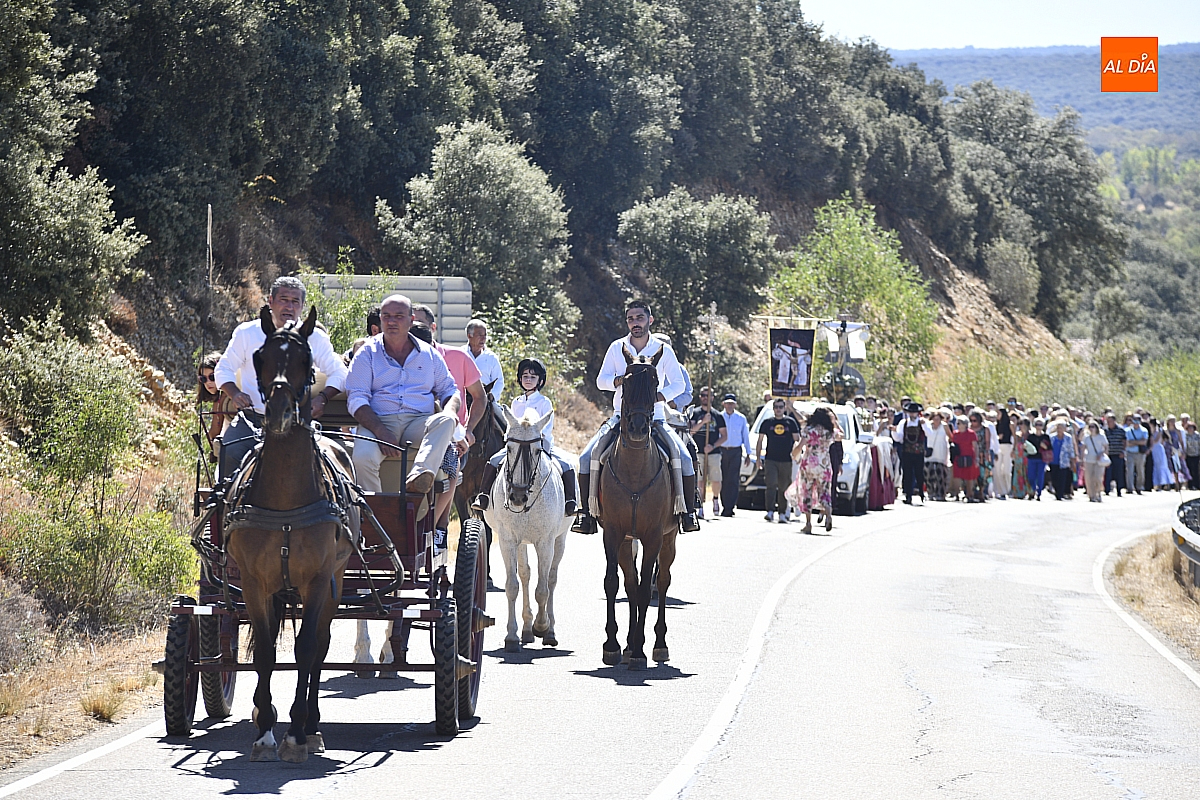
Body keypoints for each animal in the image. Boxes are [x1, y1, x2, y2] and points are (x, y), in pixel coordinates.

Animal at [224, 306, 357, 763]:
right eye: (260, 357)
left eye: (306, 359)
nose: (280, 411)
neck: (284, 499)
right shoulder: (253, 582)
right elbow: (265, 651)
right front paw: (265, 728)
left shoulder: (317, 580)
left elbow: (306, 651)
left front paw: (297, 731)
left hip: (335, 580)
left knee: (320, 645)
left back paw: (312, 724)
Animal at [482, 407, 571, 652]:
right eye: (508, 448)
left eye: (537, 449)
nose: (518, 497)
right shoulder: (507, 541)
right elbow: (512, 585)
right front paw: (512, 635)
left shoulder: (546, 543)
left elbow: (543, 589)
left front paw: (542, 626)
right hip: (521, 543)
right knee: (525, 575)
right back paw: (527, 629)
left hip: (560, 540)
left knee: (551, 579)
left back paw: (548, 630)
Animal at [596, 346, 678, 669]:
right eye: (627, 382)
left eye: (655, 384)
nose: (639, 428)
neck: (634, 469)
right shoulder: (613, 534)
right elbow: (613, 583)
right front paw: (612, 645)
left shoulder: (654, 536)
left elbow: (646, 589)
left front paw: (641, 650)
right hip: (626, 541)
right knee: (630, 584)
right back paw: (629, 644)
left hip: (669, 539)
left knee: (662, 582)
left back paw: (658, 644)